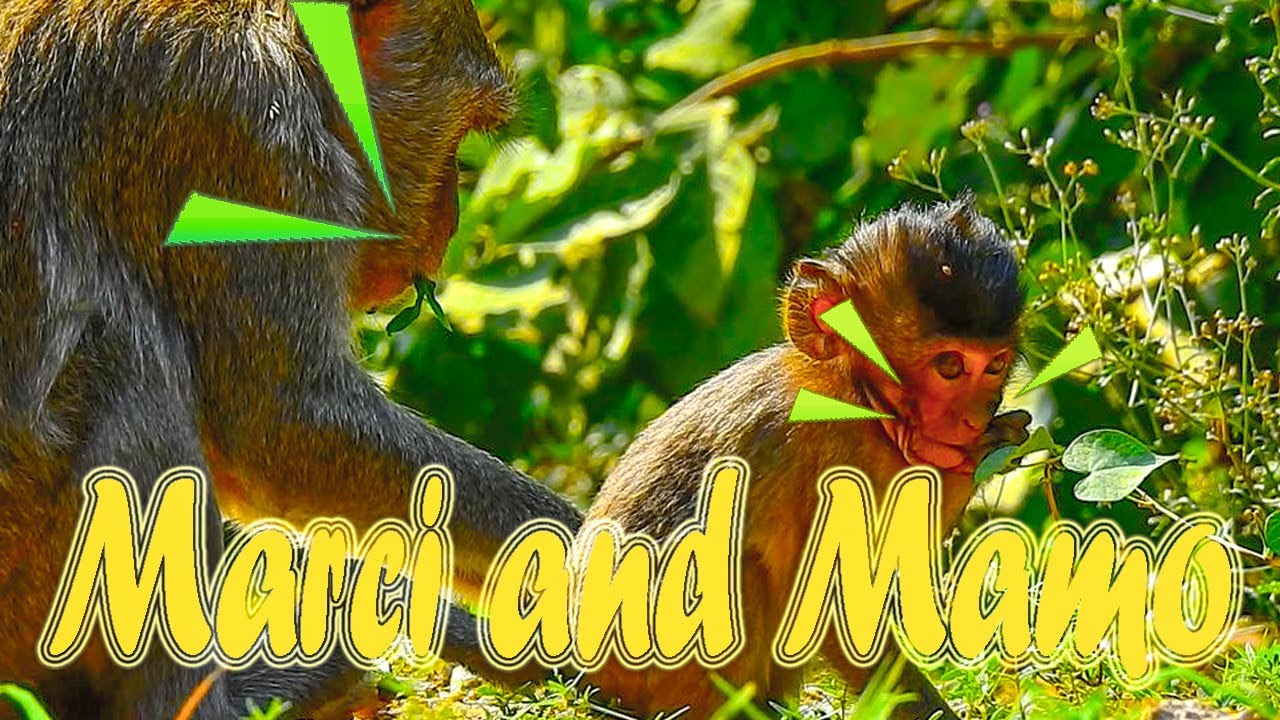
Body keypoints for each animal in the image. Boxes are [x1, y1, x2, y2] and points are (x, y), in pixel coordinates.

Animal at [573, 198, 1032, 719]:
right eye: (950, 366)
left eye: (994, 365)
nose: (976, 417)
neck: (857, 399)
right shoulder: (823, 451)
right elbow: (836, 605)